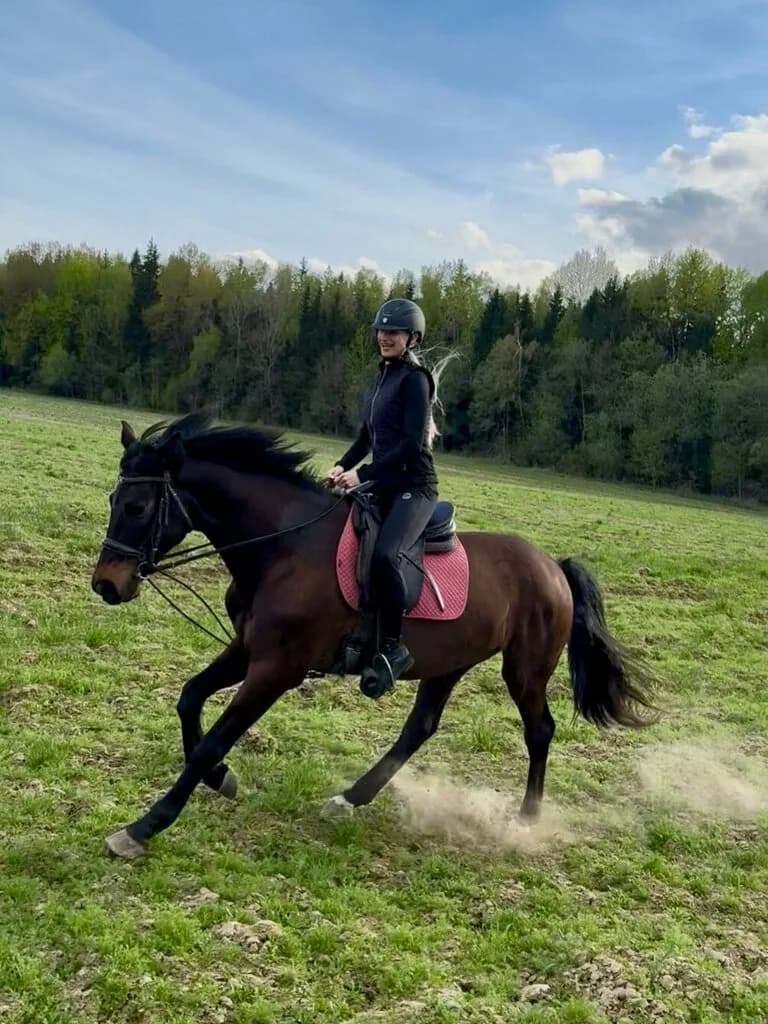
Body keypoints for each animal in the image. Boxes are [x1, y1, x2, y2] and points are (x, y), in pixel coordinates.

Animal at [91, 413, 655, 859]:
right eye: (114, 497)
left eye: (138, 508)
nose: (106, 585)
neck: (284, 547)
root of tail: (552, 566)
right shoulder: (249, 649)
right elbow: (189, 699)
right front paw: (222, 779)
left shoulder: (278, 669)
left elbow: (211, 741)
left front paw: (145, 825)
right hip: (451, 662)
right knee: (419, 728)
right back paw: (351, 798)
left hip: (525, 669)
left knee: (539, 731)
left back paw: (526, 820)